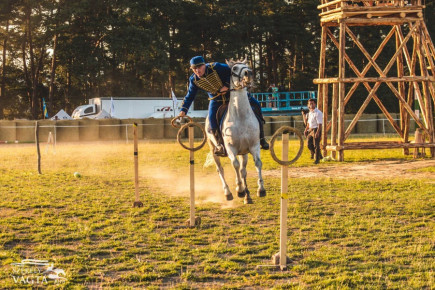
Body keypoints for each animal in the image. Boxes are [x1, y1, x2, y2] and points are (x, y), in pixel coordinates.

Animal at [207, 59, 268, 204]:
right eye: (234, 68)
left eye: (247, 66)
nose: (248, 73)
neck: (241, 116)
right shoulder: (230, 148)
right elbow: (234, 164)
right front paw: (240, 190)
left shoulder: (254, 145)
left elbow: (257, 163)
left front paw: (260, 189)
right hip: (213, 150)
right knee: (221, 170)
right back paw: (228, 192)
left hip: (244, 152)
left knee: (242, 169)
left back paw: (246, 194)